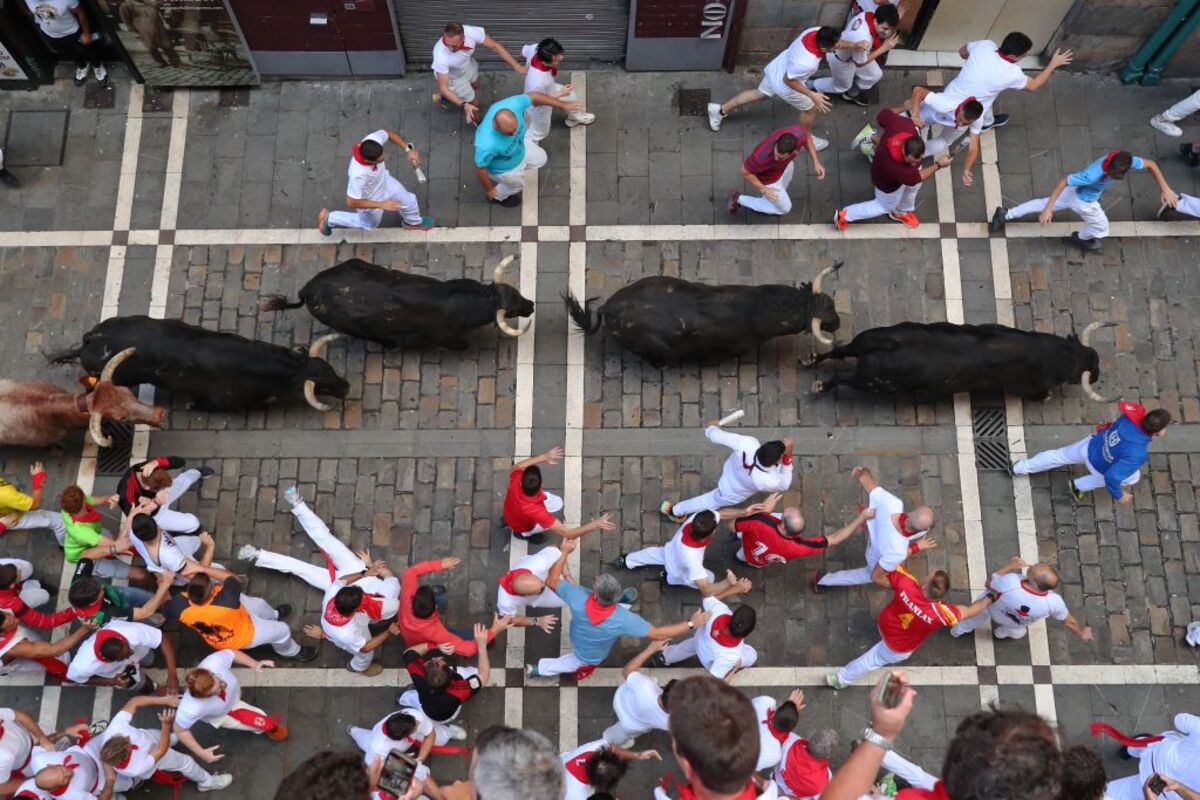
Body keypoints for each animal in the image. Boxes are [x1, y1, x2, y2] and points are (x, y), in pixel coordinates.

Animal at [261, 257, 535, 347]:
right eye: (512, 308)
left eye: (516, 291)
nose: (531, 304)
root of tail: (308, 289)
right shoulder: (447, 337)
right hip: (353, 328)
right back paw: (389, 344)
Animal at [564, 263, 840, 367]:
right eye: (825, 319)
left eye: (832, 304)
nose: (837, 324)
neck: (759, 307)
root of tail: (608, 308)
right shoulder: (739, 348)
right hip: (655, 348)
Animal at [811, 321, 1108, 400]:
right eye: (1081, 373)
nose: (1097, 365)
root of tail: (890, 344)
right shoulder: (1023, 387)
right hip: (874, 382)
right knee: (843, 378)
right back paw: (820, 386)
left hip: (864, 341)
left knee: (839, 351)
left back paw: (812, 359)